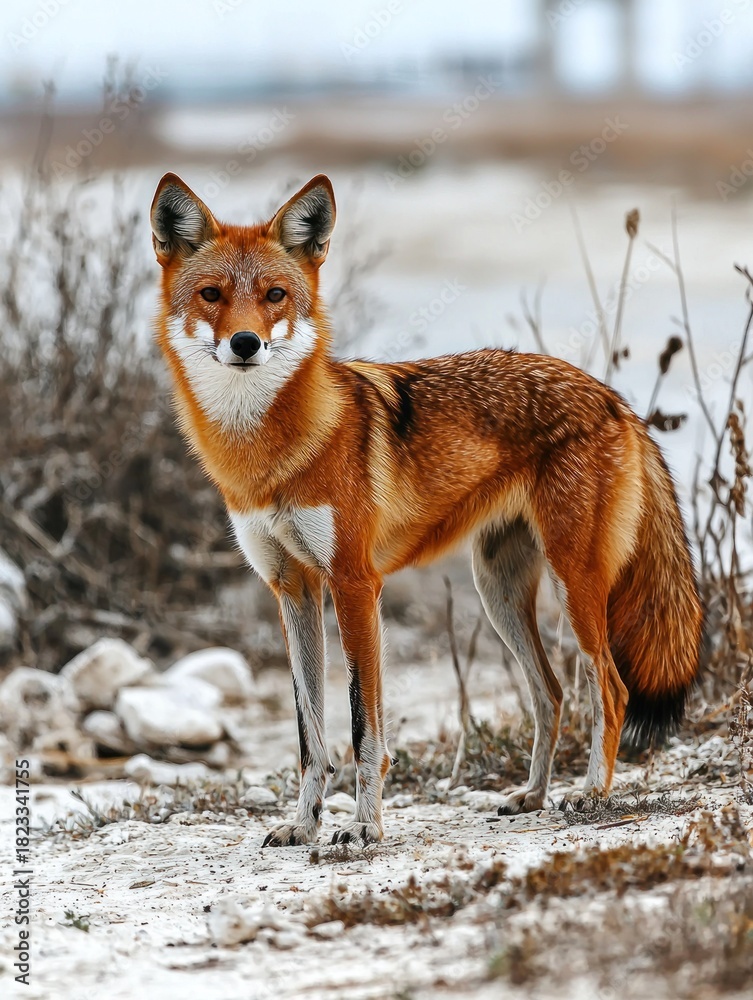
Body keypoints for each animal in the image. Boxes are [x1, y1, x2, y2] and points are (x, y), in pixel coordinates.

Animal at [150, 172, 703, 846]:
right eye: (212, 295)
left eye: (274, 295)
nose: (245, 342)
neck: (271, 459)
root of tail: (612, 396)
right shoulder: (293, 590)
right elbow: (311, 738)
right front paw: (303, 826)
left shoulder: (355, 585)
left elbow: (363, 730)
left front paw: (363, 828)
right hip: (498, 593)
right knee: (550, 694)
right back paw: (533, 795)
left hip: (573, 586)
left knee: (611, 690)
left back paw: (590, 794)